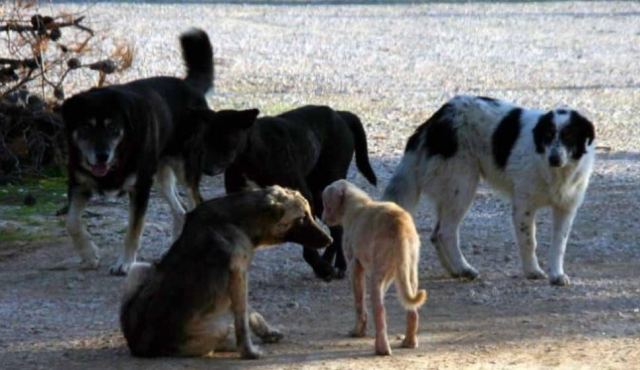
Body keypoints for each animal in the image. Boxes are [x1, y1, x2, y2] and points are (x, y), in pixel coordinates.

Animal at [61, 28, 258, 274]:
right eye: (86, 127)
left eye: (113, 128)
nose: (101, 156)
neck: (119, 156)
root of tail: (190, 86)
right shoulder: (79, 184)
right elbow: (72, 222)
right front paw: (89, 255)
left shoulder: (140, 187)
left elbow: (133, 230)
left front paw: (125, 262)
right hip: (161, 174)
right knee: (181, 211)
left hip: (185, 169)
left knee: (195, 203)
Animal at [120, 186, 332, 356]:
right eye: (302, 219)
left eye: (310, 214)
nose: (330, 240)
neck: (239, 220)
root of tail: (141, 346)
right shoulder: (238, 275)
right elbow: (242, 321)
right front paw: (249, 352)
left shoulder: (239, 278)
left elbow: (251, 313)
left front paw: (266, 332)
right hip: (217, 328)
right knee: (222, 337)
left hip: (139, 269)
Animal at [322, 179, 428, 356]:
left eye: (326, 203)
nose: (323, 220)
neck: (355, 202)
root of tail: (400, 224)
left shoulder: (355, 265)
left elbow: (359, 303)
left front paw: (358, 332)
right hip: (409, 271)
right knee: (411, 310)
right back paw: (409, 342)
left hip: (378, 275)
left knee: (380, 312)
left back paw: (382, 348)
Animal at [380, 96, 596, 286]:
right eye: (548, 135)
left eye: (569, 136)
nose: (554, 158)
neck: (555, 172)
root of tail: (437, 118)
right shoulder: (524, 207)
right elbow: (529, 241)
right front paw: (532, 271)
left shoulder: (565, 209)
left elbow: (559, 245)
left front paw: (557, 275)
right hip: (462, 186)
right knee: (445, 232)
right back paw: (464, 268)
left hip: (451, 190)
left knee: (435, 234)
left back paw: (455, 270)